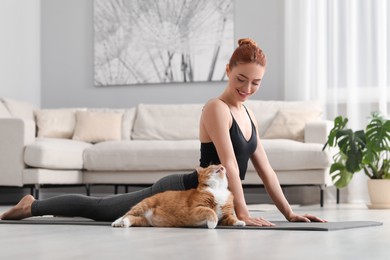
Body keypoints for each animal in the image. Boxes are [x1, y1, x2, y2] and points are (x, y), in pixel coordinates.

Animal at [111, 165, 245, 230]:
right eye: (213, 165)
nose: (222, 165)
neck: (218, 189)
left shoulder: (225, 215)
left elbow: (231, 218)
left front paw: (240, 222)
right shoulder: (195, 209)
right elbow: (210, 211)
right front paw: (212, 224)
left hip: (144, 221)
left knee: (132, 218)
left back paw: (125, 223)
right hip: (144, 205)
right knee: (126, 214)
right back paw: (117, 222)